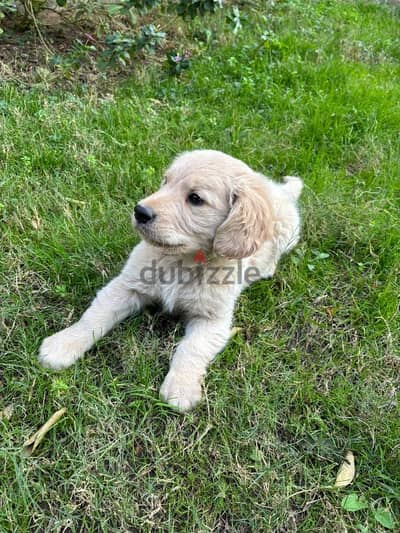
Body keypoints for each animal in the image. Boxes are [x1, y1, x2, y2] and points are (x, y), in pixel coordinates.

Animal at [39, 150, 302, 412]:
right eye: (165, 181)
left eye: (195, 198)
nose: (140, 211)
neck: (182, 260)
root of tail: (279, 190)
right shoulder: (126, 285)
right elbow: (94, 317)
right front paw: (63, 345)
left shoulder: (212, 319)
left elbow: (192, 348)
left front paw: (181, 388)